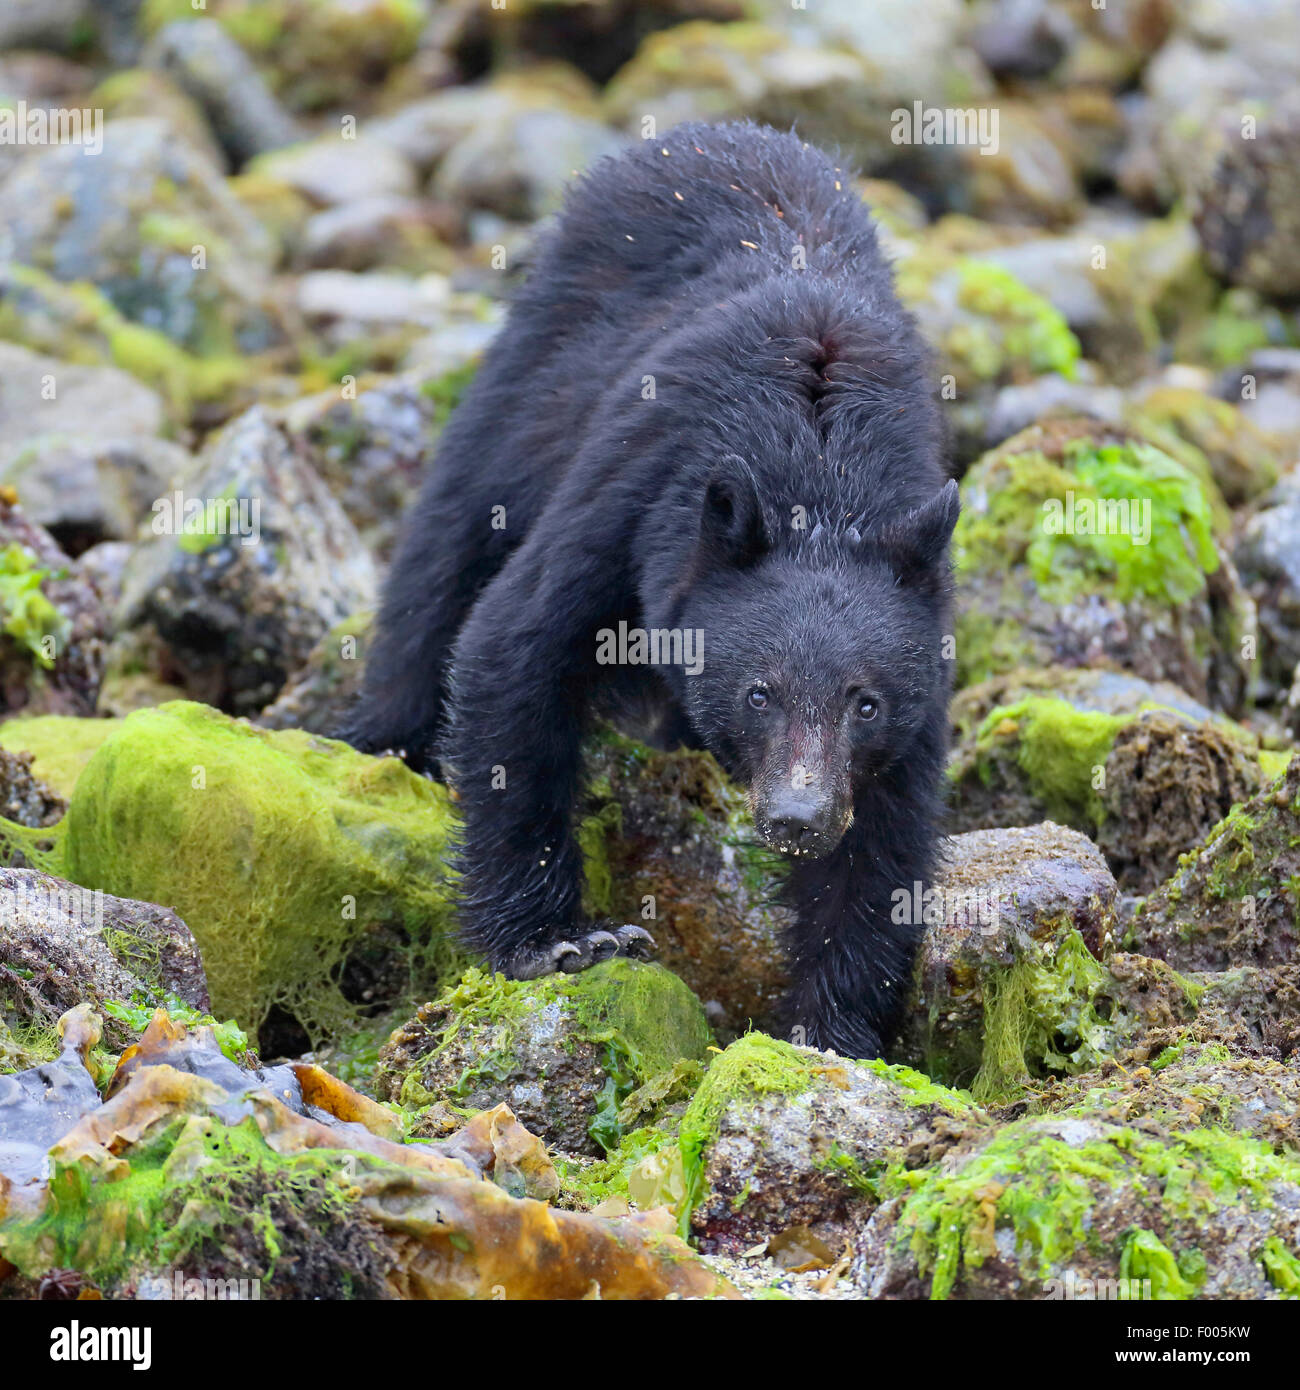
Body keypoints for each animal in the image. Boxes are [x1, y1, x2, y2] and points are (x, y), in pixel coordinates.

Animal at [346, 122, 956, 1050]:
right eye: (758, 692)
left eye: (866, 702)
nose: (800, 818)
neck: (820, 461)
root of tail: (707, 132)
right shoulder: (645, 489)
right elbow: (514, 649)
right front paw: (557, 940)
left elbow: (888, 837)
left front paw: (827, 1030)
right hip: (527, 389)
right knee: (441, 560)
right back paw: (376, 734)